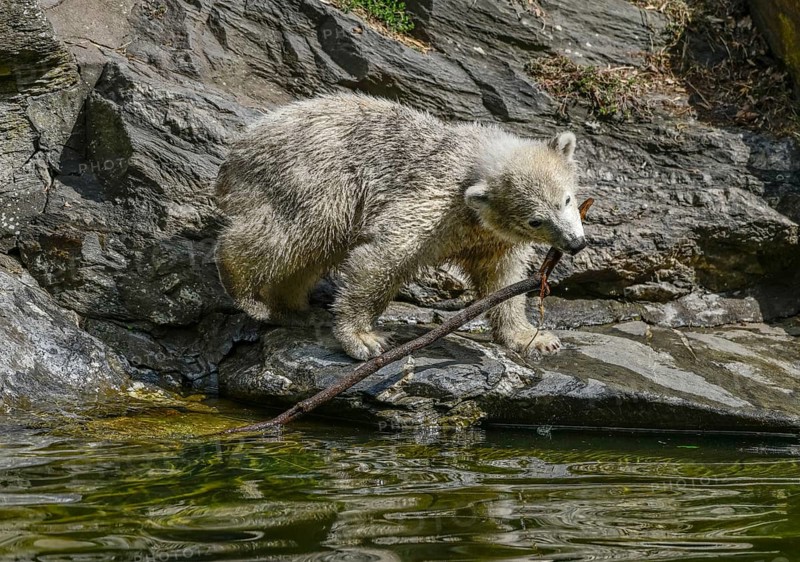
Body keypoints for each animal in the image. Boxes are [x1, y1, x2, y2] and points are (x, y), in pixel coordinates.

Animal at [215, 93, 586, 360]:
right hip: (310, 178)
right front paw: (364, 338)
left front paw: (534, 338)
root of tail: (238, 148)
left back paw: (293, 309)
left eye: (566, 199)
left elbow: (502, 279)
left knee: (313, 251)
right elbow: (384, 255)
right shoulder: (434, 200)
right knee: (287, 236)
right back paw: (247, 292)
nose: (575, 243)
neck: (472, 162)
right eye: (535, 219)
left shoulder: (490, 236)